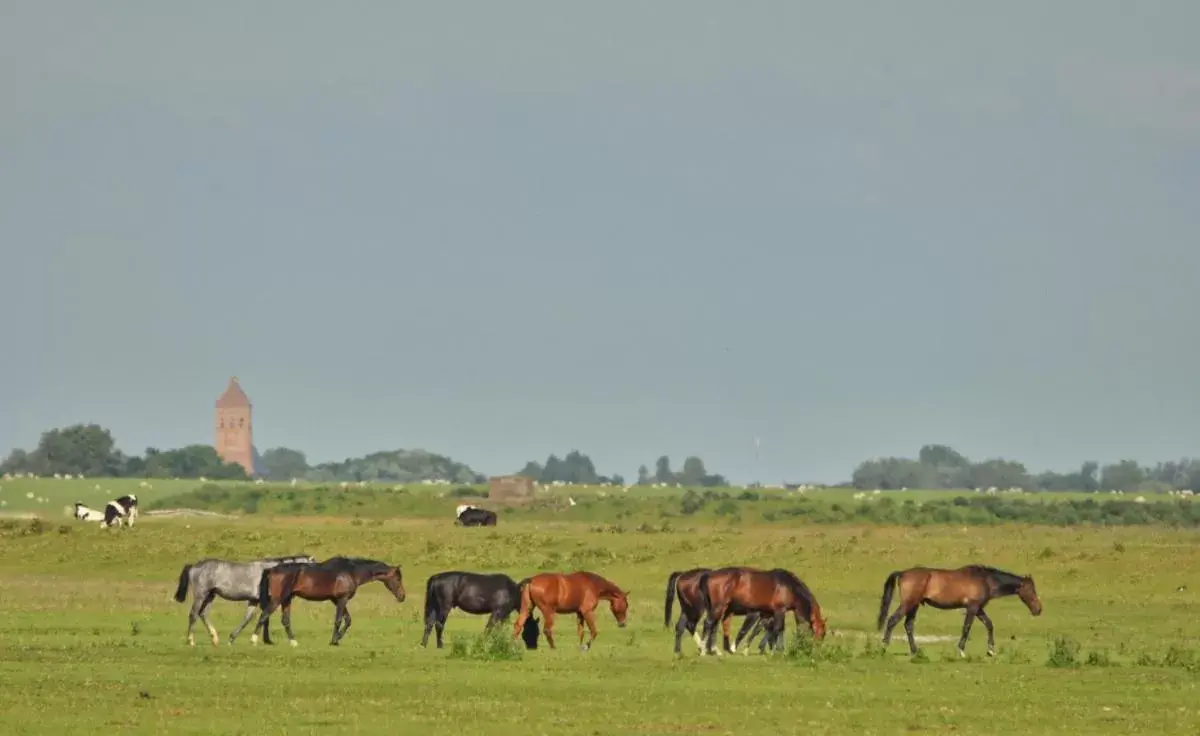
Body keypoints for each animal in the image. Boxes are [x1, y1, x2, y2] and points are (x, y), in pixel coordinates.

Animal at [174, 554, 316, 643]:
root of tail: (194, 566)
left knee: (202, 613)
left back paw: (214, 638)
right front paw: (266, 640)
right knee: (193, 615)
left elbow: (248, 619)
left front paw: (232, 638)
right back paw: (190, 640)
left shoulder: (254, 600)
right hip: (201, 595)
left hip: (210, 595)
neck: (270, 572)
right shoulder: (265, 601)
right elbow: (265, 619)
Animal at [250, 554, 405, 643]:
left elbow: (348, 620)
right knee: (264, 615)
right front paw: (334, 640)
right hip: (278, 599)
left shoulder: (336, 600)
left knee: (285, 620)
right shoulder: (342, 599)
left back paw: (293, 642)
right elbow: (339, 620)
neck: (351, 572)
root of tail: (272, 569)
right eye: (398, 578)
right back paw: (254, 639)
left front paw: (337, 638)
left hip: (287, 599)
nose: (402, 596)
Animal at [696, 561, 825, 653]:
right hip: (719, 606)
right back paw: (704, 649)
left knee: (714, 625)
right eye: (820, 633)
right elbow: (778, 628)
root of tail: (709, 575)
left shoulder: (767, 613)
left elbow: (761, 629)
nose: (817, 650)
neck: (789, 587)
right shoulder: (779, 610)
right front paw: (777, 650)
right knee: (708, 623)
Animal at [878, 561, 1046, 653]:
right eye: (1031, 590)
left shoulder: (978, 608)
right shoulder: (972, 608)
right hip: (908, 603)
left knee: (908, 625)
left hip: (914, 605)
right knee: (892, 620)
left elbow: (989, 625)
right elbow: (967, 627)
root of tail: (902, 573)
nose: (1038, 609)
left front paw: (991, 650)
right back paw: (884, 646)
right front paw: (961, 650)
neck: (985, 580)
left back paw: (915, 651)